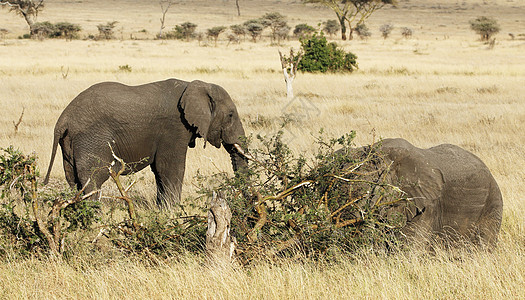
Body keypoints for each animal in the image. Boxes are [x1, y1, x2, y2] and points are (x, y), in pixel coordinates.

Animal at [42, 78, 247, 207]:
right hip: (91, 138)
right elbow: (170, 167)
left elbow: (159, 170)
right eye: (230, 115)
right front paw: (172, 211)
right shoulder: (175, 127)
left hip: (69, 143)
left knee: (73, 179)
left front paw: (162, 210)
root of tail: (63, 120)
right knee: (94, 178)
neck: (195, 85)